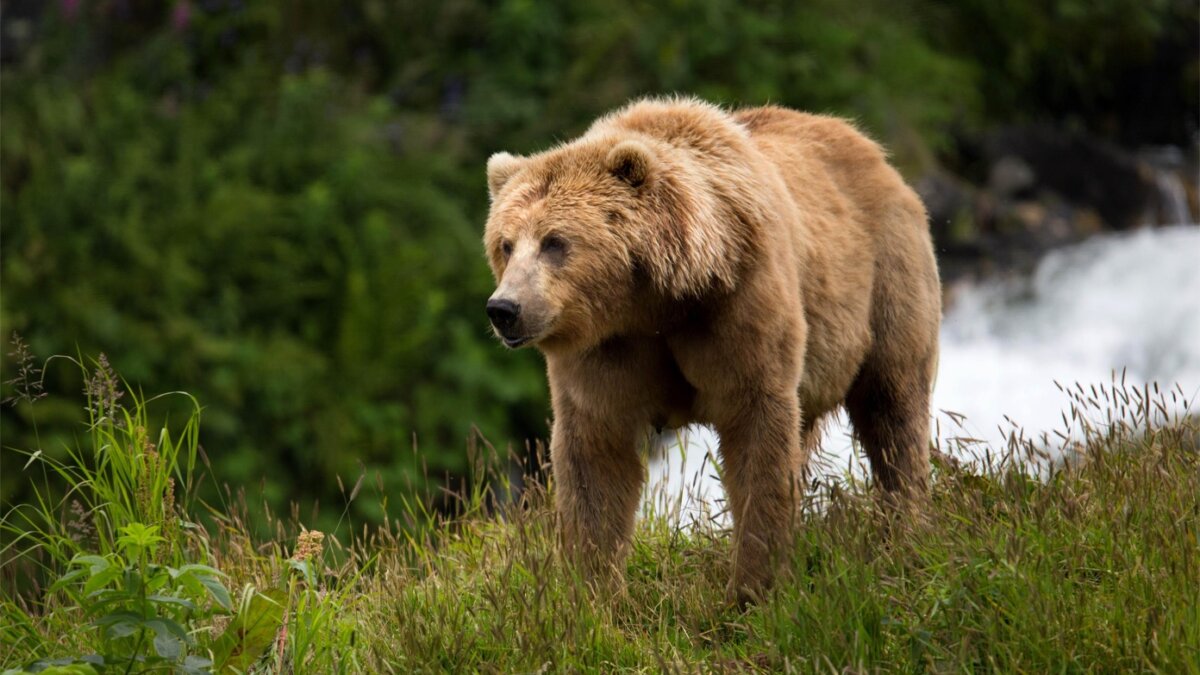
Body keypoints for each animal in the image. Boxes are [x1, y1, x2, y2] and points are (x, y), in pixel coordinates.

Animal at [482, 94, 940, 598]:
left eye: (555, 242)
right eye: (506, 244)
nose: (504, 308)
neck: (654, 302)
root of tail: (872, 150)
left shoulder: (739, 308)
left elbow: (757, 437)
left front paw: (754, 586)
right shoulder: (605, 349)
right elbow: (595, 456)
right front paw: (593, 588)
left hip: (886, 279)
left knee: (892, 410)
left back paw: (903, 530)